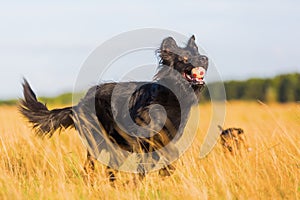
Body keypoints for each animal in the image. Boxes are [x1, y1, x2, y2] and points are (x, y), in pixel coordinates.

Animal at [20, 36, 209, 181]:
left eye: (198, 54)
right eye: (185, 58)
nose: (205, 59)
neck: (172, 94)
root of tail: (78, 104)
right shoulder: (148, 132)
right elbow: (169, 151)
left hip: (117, 147)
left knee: (109, 169)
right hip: (98, 142)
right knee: (90, 167)